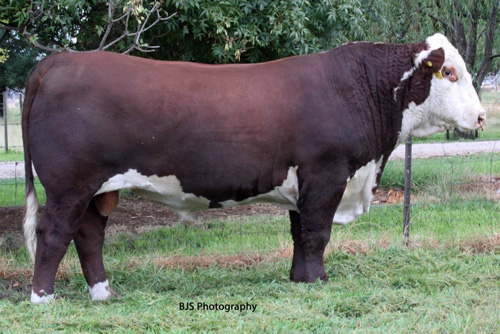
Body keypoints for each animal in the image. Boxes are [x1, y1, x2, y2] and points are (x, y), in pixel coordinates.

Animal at [22, 34, 484, 302]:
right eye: (449, 71)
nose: (481, 117)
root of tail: (60, 59)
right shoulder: (327, 174)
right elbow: (317, 233)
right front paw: (317, 282)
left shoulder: (305, 184)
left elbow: (300, 233)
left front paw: (299, 279)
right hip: (69, 185)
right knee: (54, 232)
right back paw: (43, 297)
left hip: (97, 189)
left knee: (89, 235)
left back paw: (103, 294)